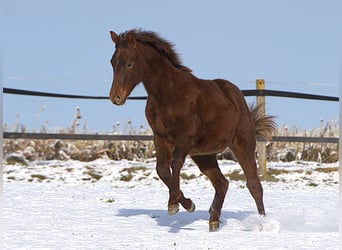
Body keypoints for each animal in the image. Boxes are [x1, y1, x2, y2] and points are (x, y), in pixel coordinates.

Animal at [109, 29, 278, 232]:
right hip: (203, 155)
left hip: (242, 145)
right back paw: (213, 221)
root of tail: (238, 98)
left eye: (129, 63)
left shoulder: (185, 137)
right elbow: (162, 169)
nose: (115, 97)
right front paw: (188, 204)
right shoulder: (160, 137)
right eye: (112, 62)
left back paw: (262, 223)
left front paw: (173, 204)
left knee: (254, 185)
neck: (168, 95)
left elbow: (175, 163)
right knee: (222, 183)